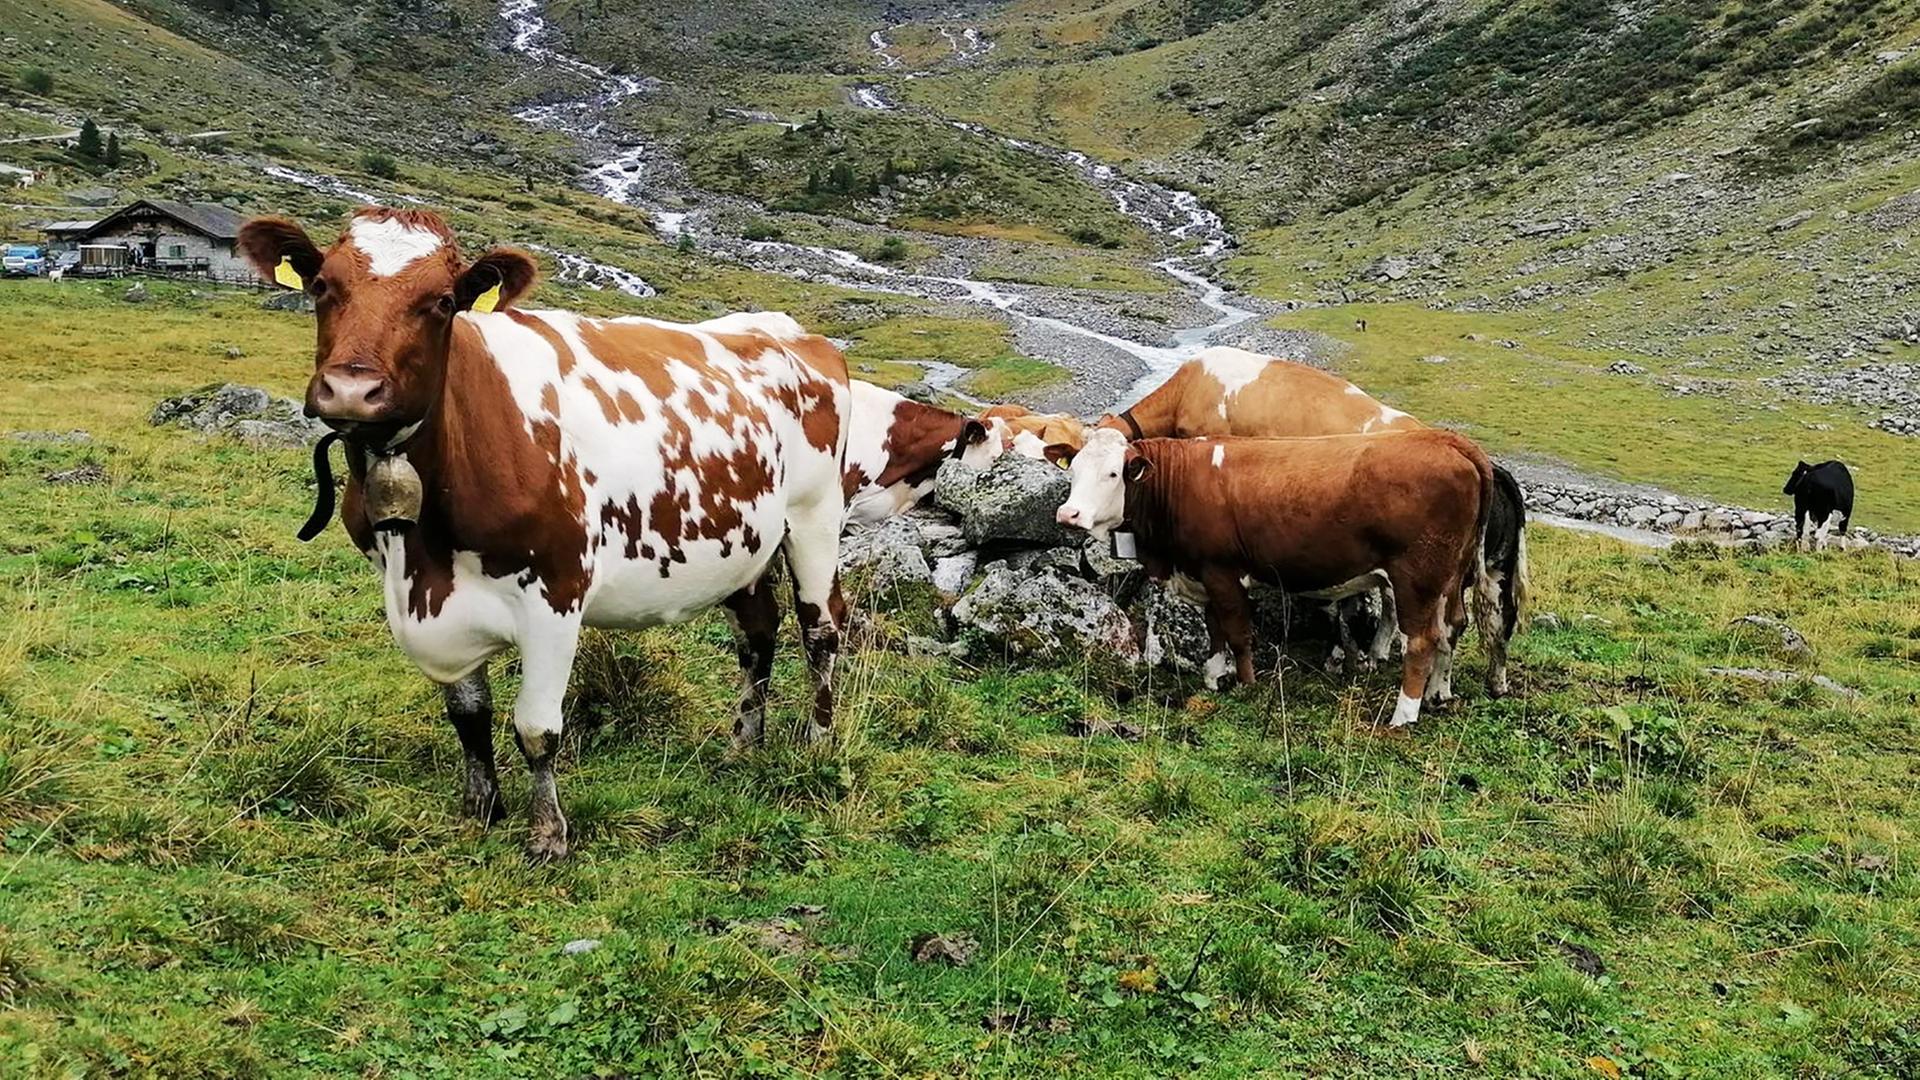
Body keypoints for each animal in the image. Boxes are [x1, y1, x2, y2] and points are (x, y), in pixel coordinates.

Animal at [237, 207, 851, 861]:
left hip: (814, 519)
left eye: (443, 301)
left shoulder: (557, 589)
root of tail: (793, 332)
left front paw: (548, 833)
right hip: (744, 541)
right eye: (322, 286)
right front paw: (480, 808)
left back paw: (816, 743)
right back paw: (743, 744)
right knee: (758, 633)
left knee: (820, 631)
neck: (423, 554)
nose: (352, 390)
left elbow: (536, 728)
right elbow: (468, 713)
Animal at [1049, 429, 1499, 728]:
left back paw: (1404, 714)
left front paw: (1246, 684)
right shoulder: (1205, 575)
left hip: (1415, 580)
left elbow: (1237, 633)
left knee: (1421, 641)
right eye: (1073, 470)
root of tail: (1445, 440)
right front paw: (1213, 677)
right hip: (1449, 579)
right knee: (1452, 629)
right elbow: (1214, 630)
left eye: (1113, 474)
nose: (1068, 514)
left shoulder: (1222, 571)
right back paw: (1439, 692)